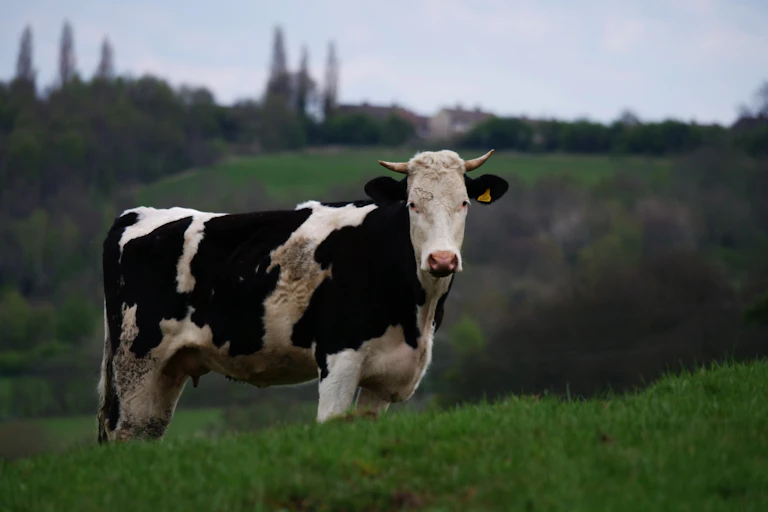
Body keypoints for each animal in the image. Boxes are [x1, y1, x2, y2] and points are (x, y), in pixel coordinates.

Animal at [97, 148, 508, 443]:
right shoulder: (339, 358)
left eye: (464, 203)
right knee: (124, 434)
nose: (442, 259)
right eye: (412, 204)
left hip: (167, 369)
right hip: (136, 362)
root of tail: (136, 215)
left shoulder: (386, 376)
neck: (414, 317)